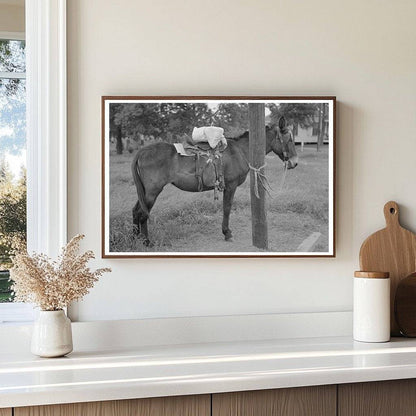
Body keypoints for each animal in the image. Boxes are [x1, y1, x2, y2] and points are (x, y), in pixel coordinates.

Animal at [132, 125, 298, 245]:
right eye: (289, 140)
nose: (294, 162)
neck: (240, 150)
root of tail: (142, 151)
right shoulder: (230, 186)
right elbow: (227, 208)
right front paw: (227, 233)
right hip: (152, 192)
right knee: (142, 214)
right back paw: (146, 242)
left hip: (145, 192)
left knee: (136, 211)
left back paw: (135, 238)